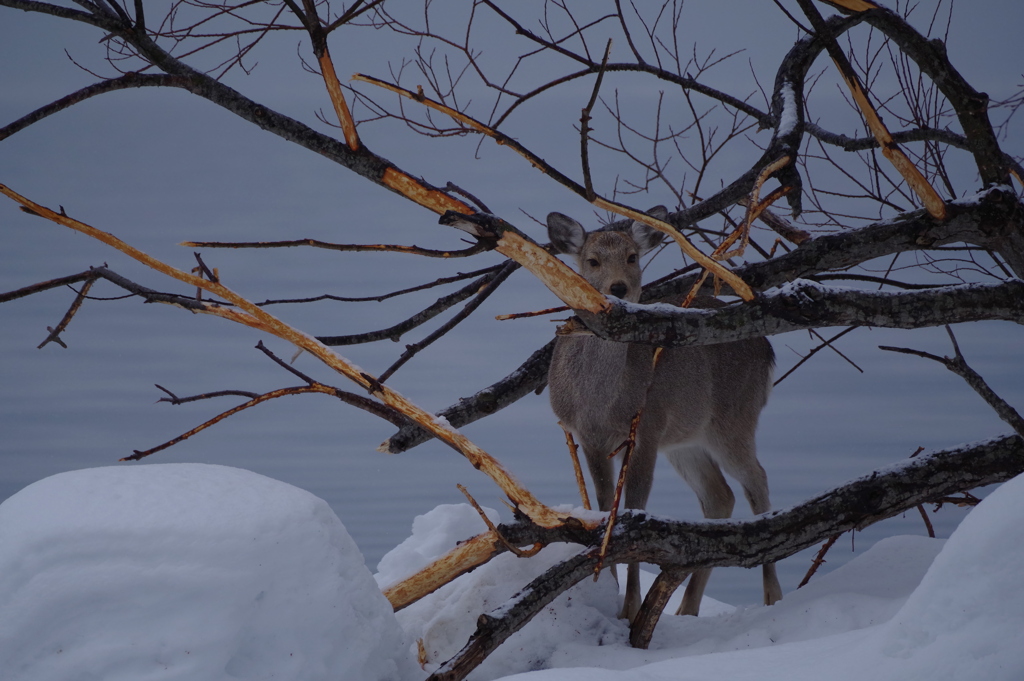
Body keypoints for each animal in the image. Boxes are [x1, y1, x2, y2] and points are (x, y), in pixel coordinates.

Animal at [548, 206, 778, 622]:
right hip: (686, 440)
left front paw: (629, 607)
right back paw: (686, 608)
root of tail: (768, 350)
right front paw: (610, 591)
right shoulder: (589, 437)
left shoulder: (647, 430)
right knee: (719, 495)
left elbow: (635, 509)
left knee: (757, 480)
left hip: (734, 418)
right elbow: (604, 507)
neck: (600, 402)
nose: (618, 288)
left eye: (632, 257)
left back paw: (771, 595)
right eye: (592, 260)